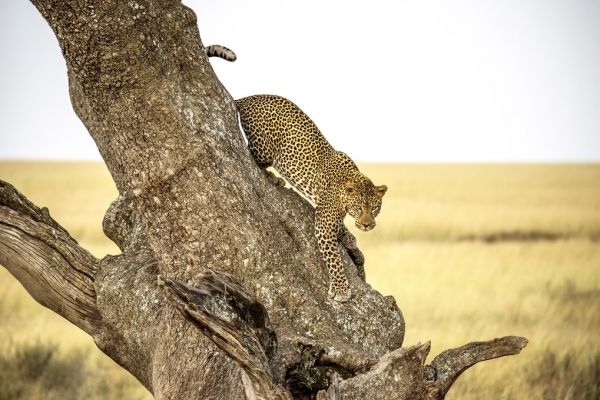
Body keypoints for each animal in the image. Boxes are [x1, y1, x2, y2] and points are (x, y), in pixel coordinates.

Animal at [237, 94, 386, 300]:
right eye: (359, 208)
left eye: (374, 208)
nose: (367, 225)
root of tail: (246, 98)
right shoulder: (324, 222)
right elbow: (334, 258)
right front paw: (341, 289)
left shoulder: (326, 213)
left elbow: (342, 228)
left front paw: (350, 240)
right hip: (264, 148)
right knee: (252, 155)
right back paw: (274, 178)